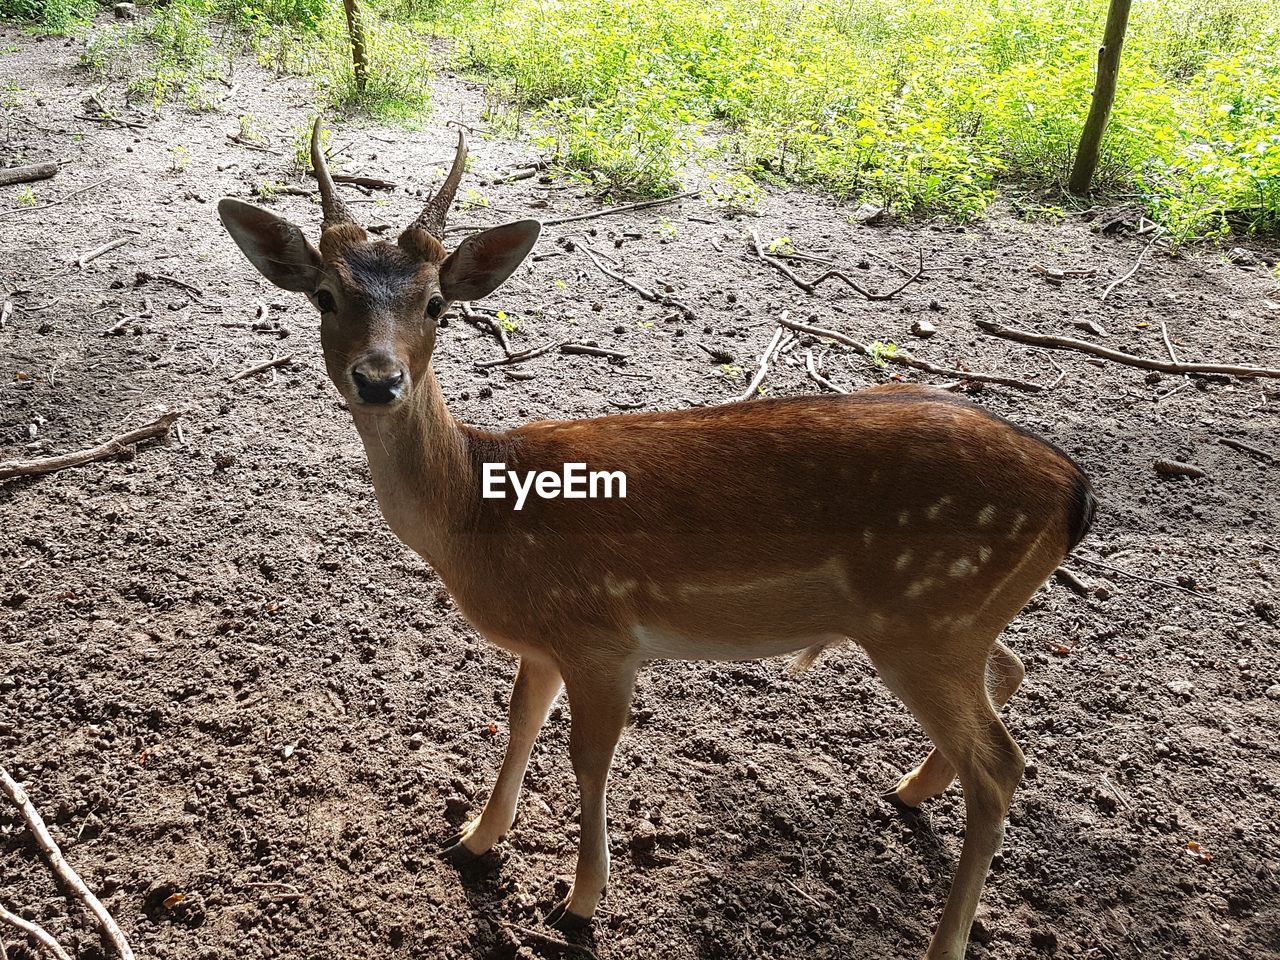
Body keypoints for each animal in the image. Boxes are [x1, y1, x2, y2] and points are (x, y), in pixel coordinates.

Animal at [215, 120, 1095, 960]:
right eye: (324, 295)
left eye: (436, 304)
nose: (378, 379)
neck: (481, 511)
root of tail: (1076, 490)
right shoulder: (545, 642)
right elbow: (520, 723)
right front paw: (474, 839)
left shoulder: (600, 634)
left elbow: (589, 757)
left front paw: (578, 901)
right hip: (949, 621)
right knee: (1011, 673)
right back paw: (909, 789)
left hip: (926, 618)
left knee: (1003, 765)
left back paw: (943, 938)